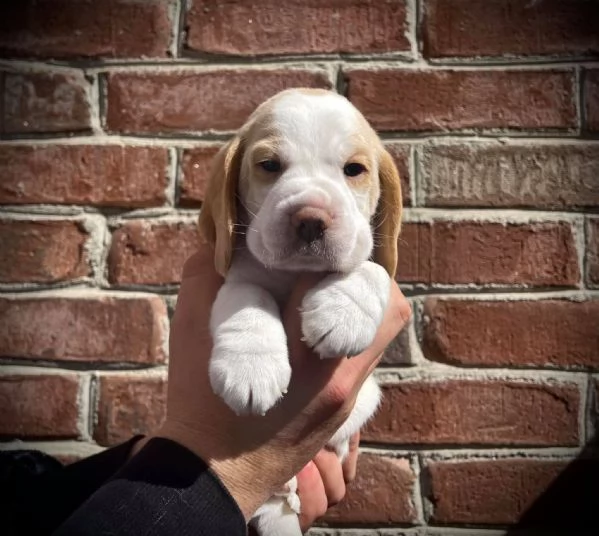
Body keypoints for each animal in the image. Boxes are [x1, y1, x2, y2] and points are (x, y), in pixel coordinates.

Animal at [199, 89, 400, 536]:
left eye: (354, 169)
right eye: (269, 166)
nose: (311, 219)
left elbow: (373, 268)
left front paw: (342, 313)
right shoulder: (237, 279)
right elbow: (250, 302)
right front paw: (251, 370)